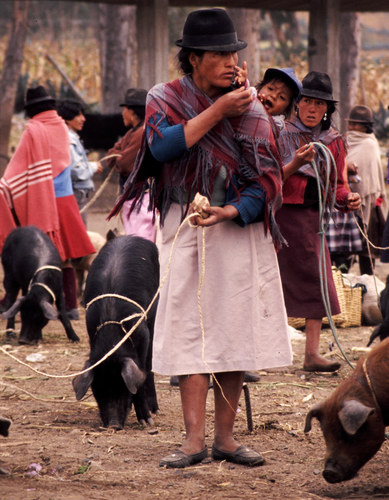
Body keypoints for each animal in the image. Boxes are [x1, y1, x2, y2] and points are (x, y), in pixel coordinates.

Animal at [72, 236, 158, 428]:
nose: (113, 425)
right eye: (97, 390)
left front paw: (147, 422)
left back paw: (154, 410)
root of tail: (130, 236)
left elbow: (141, 373)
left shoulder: (142, 335)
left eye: (123, 388)